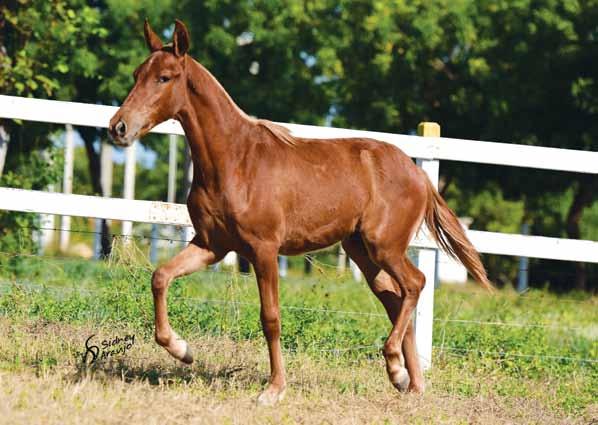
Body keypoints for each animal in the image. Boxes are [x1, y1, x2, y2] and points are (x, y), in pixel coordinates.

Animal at [109, 19, 492, 404]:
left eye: (165, 77)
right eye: (136, 74)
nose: (119, 127)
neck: (235, 161)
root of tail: (420, 175)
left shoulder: (263, 250)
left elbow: (271, 318)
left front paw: (273, 389)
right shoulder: (211, 245)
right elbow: (160, 277)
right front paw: (182, 350)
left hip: (384, 246)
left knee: (415, 284)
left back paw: (396, 365)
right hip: (362, 251)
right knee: (395, 300)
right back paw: (407, 382)